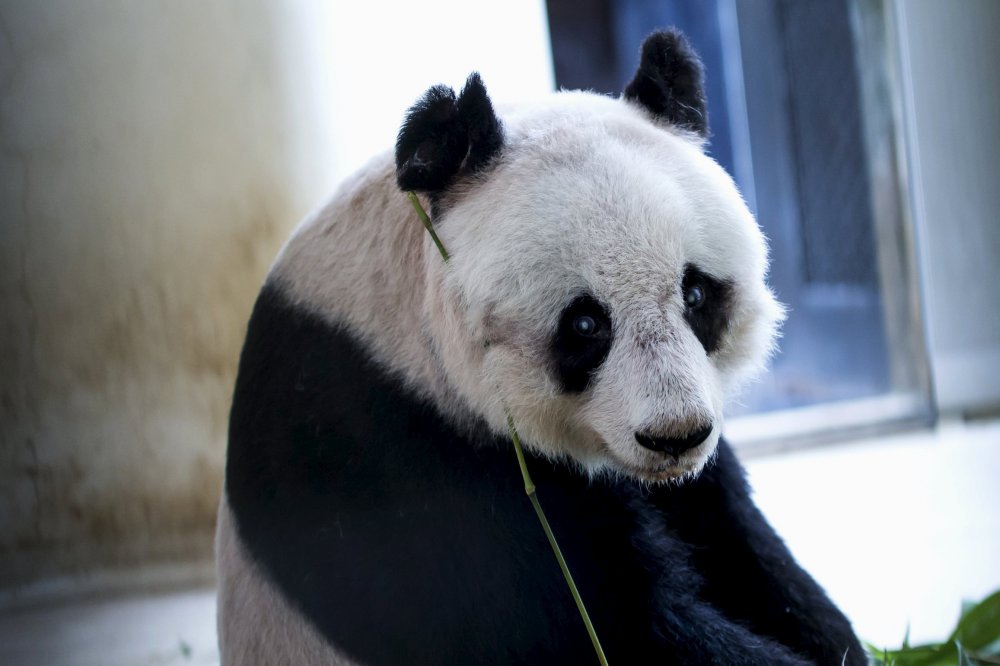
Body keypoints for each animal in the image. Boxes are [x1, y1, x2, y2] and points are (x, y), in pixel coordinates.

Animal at [219, 29, 868, 664]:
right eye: (584, 325)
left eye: (695, 292)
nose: (675, 436)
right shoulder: (385, 444)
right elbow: (605, 626)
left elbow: (735, 538)